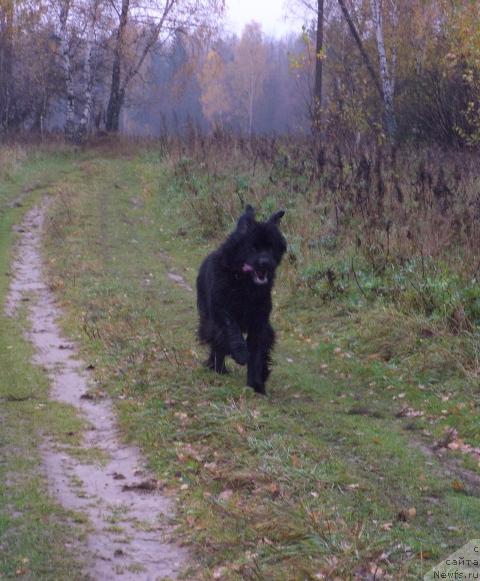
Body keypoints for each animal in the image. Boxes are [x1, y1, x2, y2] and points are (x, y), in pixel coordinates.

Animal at [197, 205, 286, 394]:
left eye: (271, 247)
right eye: (253, 247)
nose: (265, 262)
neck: (245, 285)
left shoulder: (260, 321)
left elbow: (258, 352)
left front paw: (256, 385)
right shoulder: (222, 307)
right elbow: (232, 330)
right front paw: (240, 353)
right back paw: (218, 368)